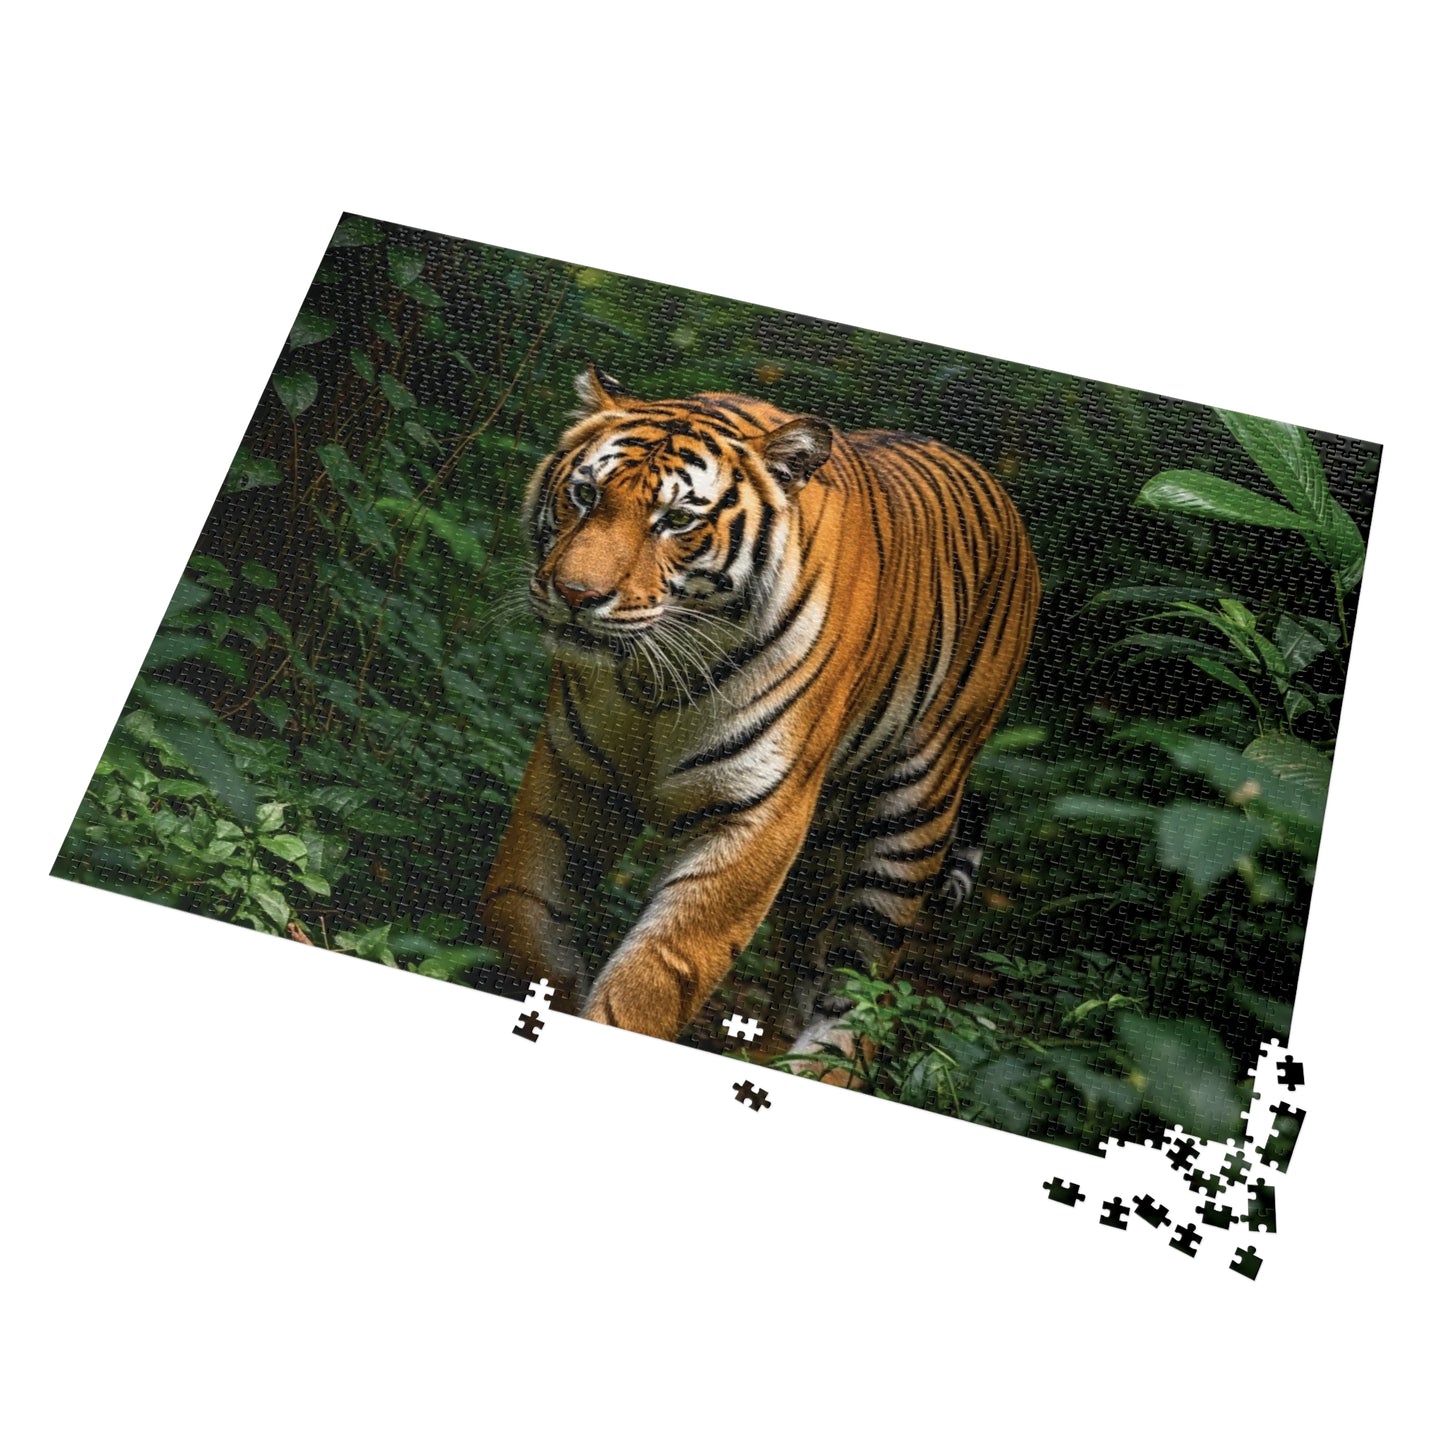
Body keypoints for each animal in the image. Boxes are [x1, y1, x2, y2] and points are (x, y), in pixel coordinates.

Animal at [479, 365, 1040, 1056]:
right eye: (584, 495)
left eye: (675, 520)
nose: (576, 594)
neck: (651, 684)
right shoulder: (572, 773)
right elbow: (515, 908)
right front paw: (555, 985)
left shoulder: (757, 816)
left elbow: (657, 976)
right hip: (825, 837)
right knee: (806, 960)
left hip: (914, 815)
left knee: (863, 991)